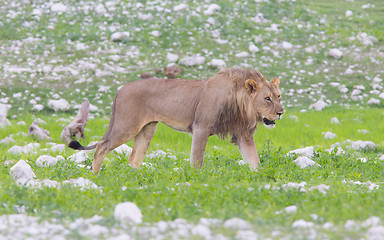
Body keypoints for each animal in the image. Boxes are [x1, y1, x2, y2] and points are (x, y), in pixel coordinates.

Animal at [69, 68, 284, 173]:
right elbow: (197, 159)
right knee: (101, 146)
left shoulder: (243, 134)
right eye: (267, 98)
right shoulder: (201, 127)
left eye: (279, 96)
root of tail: (121, 89)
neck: (242, 104)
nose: (281, 112)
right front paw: (196, 179)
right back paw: (94, 175)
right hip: (126, 126)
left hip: (147, 129)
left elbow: (254, 160)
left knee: (134, 157)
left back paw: (135, 177)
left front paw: (260, 179)